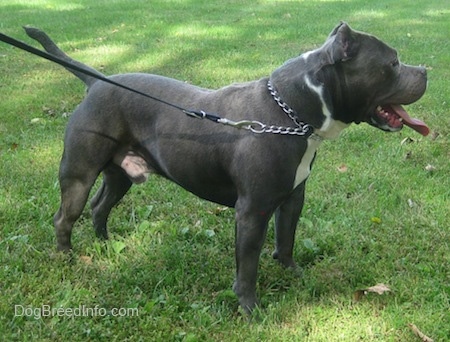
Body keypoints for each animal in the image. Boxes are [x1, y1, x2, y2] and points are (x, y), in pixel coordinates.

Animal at [25, 22, 428, 312]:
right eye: (392, 64)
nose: (426, 69)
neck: (292, 112)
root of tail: (95, 83)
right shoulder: (252, 211)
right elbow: (247, 265)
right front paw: (250, 308)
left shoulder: (291, 199)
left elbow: (286, 239)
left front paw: (292, 272)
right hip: (79, 172)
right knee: (65, 216)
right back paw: (68, 258)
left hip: (121, 174)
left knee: (100, 206)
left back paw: (107, 245)